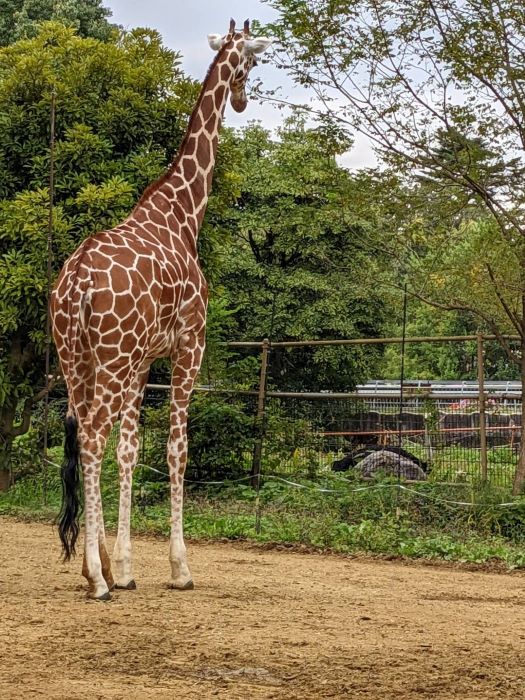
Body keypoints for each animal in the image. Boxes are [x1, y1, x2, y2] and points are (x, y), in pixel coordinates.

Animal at [50, 19, 270, 600]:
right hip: (108, 360)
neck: (184, 212)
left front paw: (127, 566)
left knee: (86, 436)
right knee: (91, 438)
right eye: (251, 62)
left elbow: (130, 448)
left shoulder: (143, 360)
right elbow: (175, 449)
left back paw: (99, 569)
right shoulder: (188, 347)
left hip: (77, 359)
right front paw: (178, 567)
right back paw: (96, 579)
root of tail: (76, 284)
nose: (242, 100)